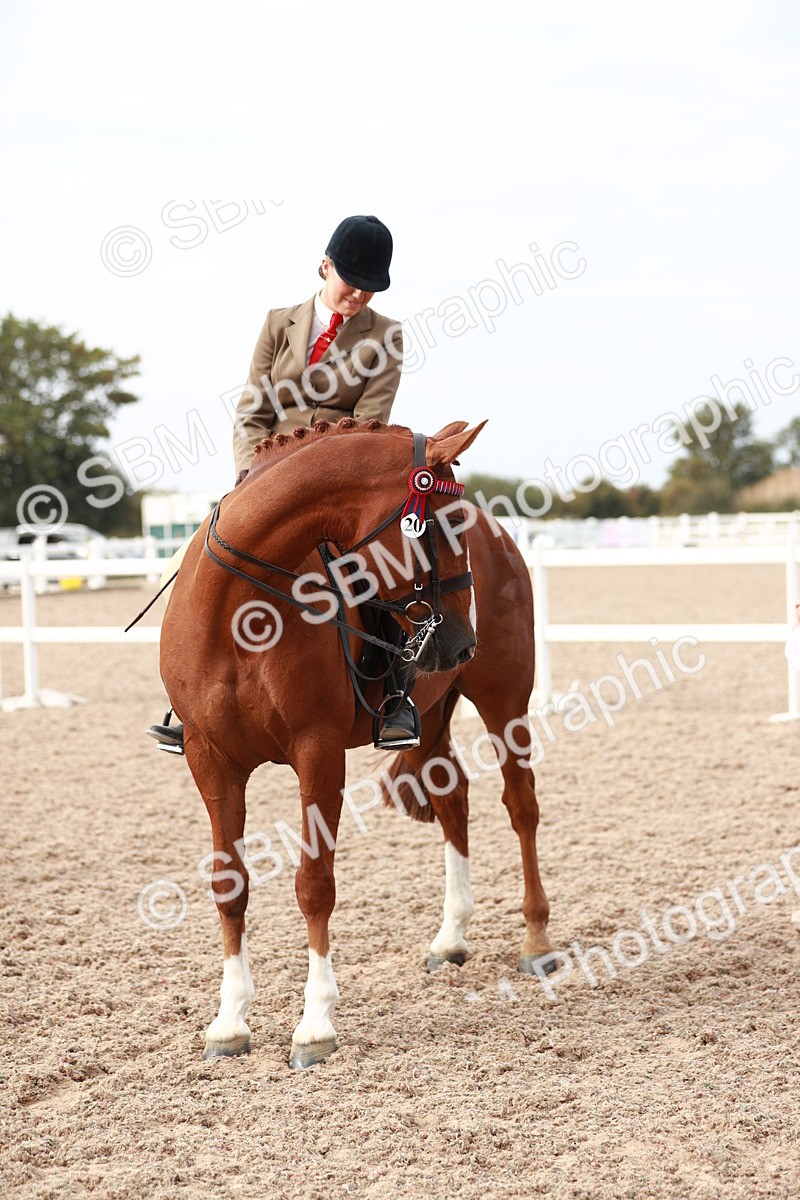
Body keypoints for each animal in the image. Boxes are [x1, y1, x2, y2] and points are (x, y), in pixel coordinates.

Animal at [159, 417, 555, 1068]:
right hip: (433, 713)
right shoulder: (210, 761)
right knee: (454, 802)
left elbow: (314, 885)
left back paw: (537, 939)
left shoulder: (317, 753)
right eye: (442, 525)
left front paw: (315, 1025)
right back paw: (451, 938)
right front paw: (229, 1021)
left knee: (521, 805)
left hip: (504, 701)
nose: (461, 643)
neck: (237, 611)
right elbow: (228, 885)